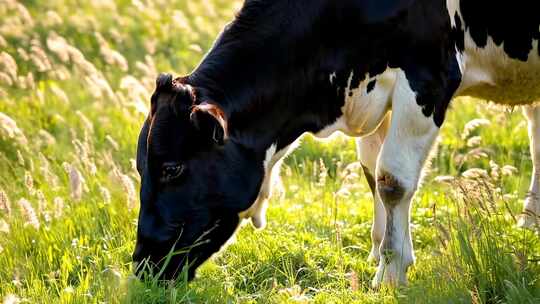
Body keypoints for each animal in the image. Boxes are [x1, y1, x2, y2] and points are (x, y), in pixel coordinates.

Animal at [132, 0, 540, 288]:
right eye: (140, 167)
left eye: (172, 168)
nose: (142, 264)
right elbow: (372, 173)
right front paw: (378, 253)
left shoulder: (428, 77)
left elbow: (392, 180)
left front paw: (391, 274)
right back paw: (530, 225)